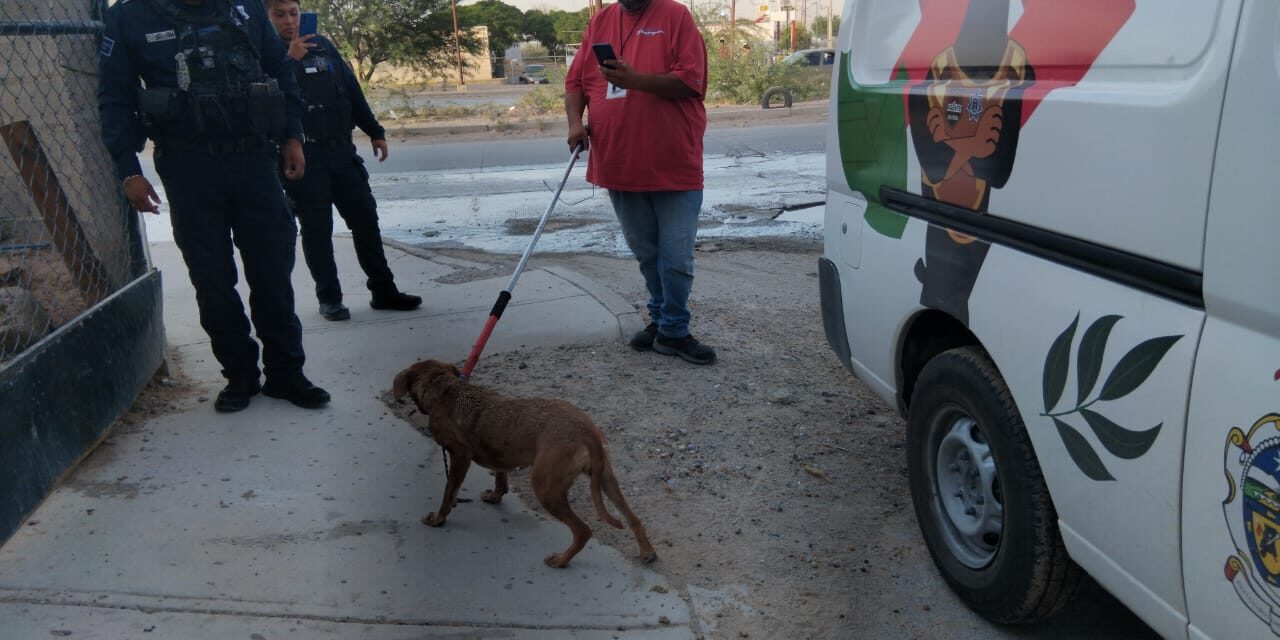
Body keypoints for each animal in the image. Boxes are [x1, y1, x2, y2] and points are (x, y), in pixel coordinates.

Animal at [391, 358, 660, 568]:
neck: (445, 390)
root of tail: (585, 430)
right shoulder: (498, 456)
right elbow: (500, 477)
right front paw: (495, 496)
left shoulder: (459, 456)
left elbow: (448, 493)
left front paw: (438, 519)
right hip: (605, 478)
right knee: (633, 517)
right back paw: (647, 552)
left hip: (545, 487)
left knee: (583, 531)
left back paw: (561, 561)